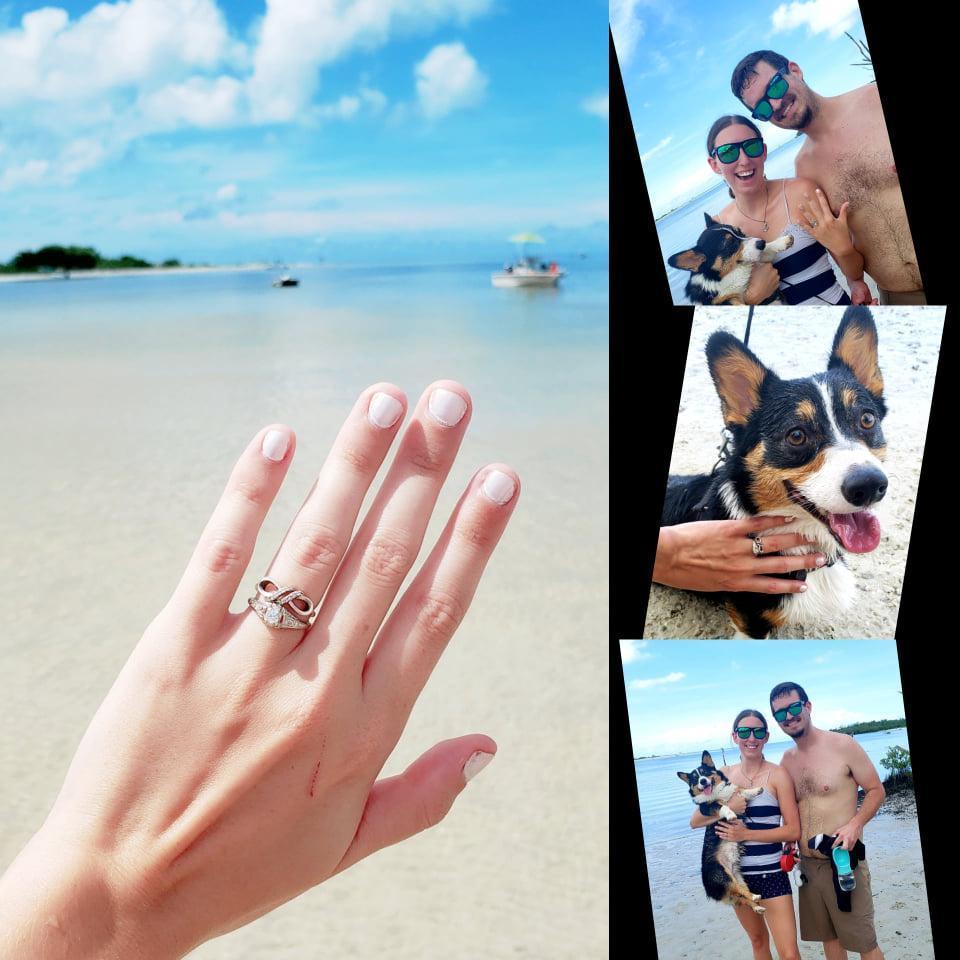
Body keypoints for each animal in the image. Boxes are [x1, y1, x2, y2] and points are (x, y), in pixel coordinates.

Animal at [668, 216, 796, 306]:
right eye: (730, 244)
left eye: (740, 232)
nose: (762, 242)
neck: (732, 272)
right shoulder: (722, 302)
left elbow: (767, 250)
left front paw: (783, 241)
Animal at [684, 752, 764, 916]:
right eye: (695, 779)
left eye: (705, 772)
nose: (702, 781)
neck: (717, 792)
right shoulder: (707, 808)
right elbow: (721, 806)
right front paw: (731, 814)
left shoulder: (736, 793)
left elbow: (743, 789)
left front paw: (756, 790)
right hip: (723, 876)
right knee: (742, 892)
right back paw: (755, 897)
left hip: (738, 877)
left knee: (743, 893)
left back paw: (757, 905)